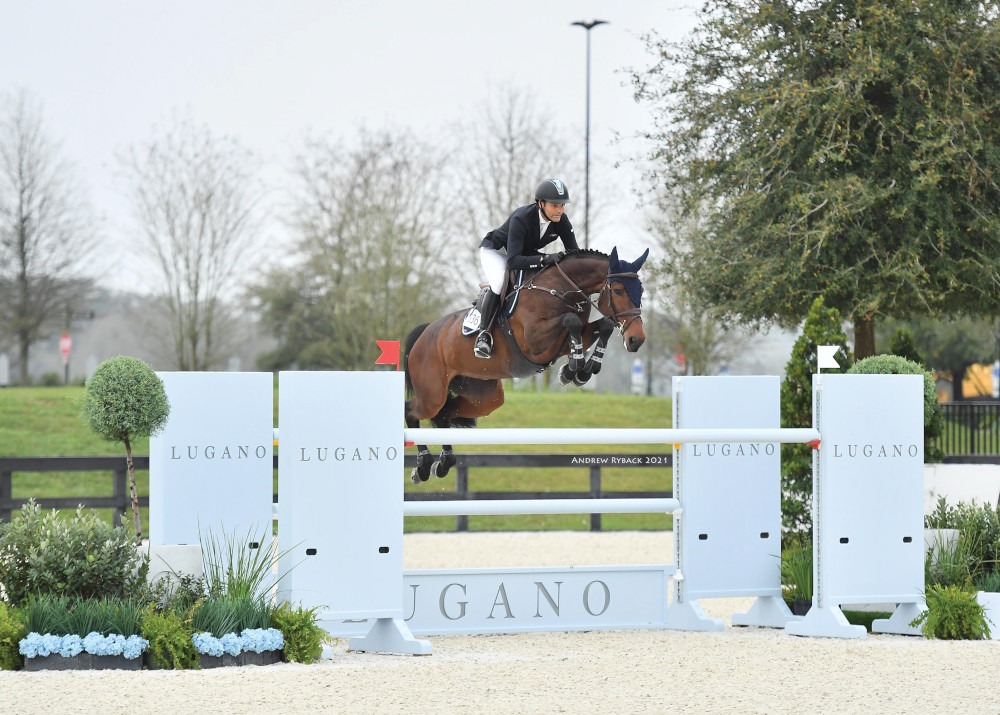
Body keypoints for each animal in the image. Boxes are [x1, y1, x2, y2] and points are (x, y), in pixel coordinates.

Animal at [404, 248, 648, 486]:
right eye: (618, 290)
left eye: (641, 290)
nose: (637, 340)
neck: (560, 288)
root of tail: (426, 332)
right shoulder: (535, 340)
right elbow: (571, 321)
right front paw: (574, 369)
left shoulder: (568, 339)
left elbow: (602, 325)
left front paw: (578, 372)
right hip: (432, 393)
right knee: (413, 411)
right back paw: (423, 465)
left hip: (484, 396)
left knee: (444, 414)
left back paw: (443, 463)